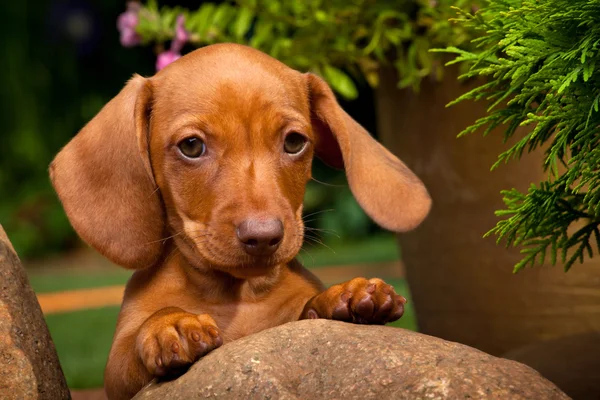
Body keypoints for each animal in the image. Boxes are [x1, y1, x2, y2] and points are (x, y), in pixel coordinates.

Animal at [49, 43, 428, 400]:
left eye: (294, 142)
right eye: (191, 146)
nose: (263, 237)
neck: (239, 296)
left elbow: (307, 309)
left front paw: (343, 294)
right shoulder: (116, 376)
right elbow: (139, 338)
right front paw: (170, 323)